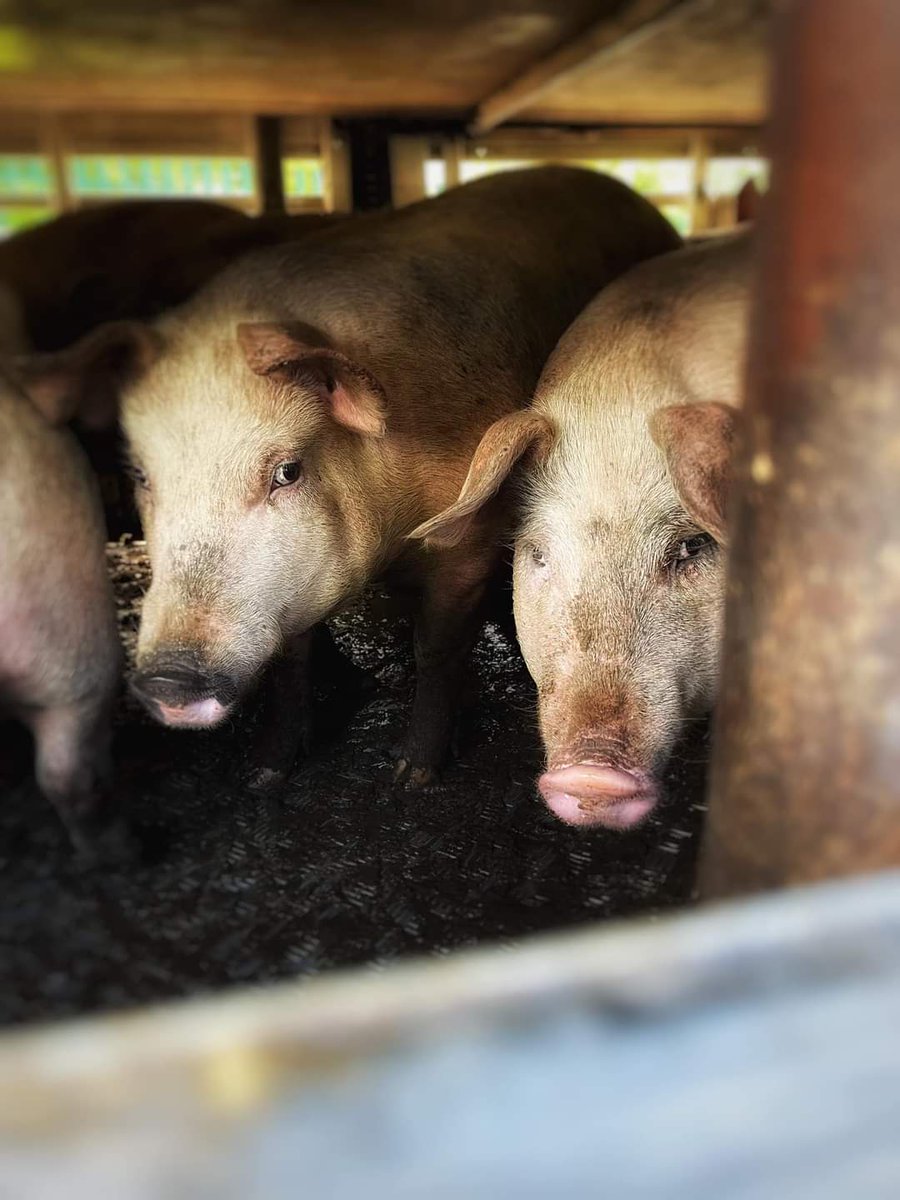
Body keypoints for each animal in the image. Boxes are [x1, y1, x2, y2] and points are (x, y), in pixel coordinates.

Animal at [18, 166, 681, 791]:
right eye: (140, 473)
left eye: (287, 471)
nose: (169, 678)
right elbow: (291, 664)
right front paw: (264, 774)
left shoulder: (466, 542)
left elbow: (437, 649)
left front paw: (411, 777)